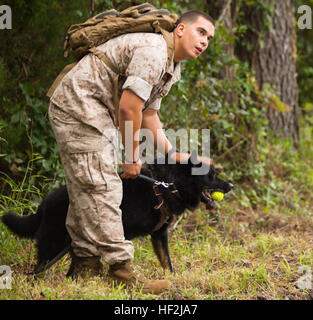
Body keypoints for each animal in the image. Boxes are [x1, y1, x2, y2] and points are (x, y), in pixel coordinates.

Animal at [1, 152, 232, 276]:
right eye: (211, 176)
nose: (231, 186)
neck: (169, 184)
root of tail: (44, 204)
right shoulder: (121, 230)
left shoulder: (159, 235)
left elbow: (167, 262)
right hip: (53, 241)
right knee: (41, 266)